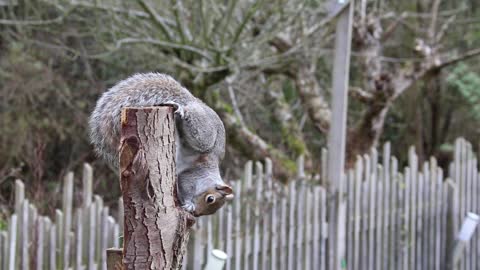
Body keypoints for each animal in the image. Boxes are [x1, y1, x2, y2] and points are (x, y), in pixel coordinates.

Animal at [90, 73, 234, 216]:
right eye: (210, 199)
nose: (196, 214)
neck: (208, 174)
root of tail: (194, 101)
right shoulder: (193, 174)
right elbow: (185, 184)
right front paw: (189, 204)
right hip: (204, 133)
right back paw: (181, 109)